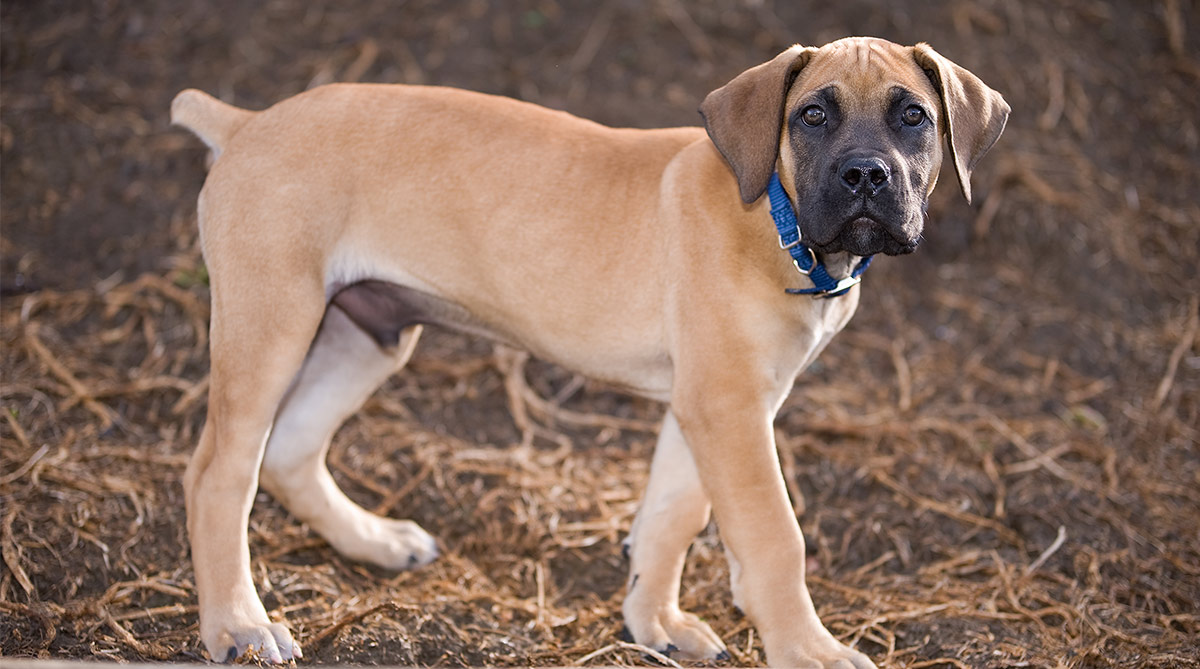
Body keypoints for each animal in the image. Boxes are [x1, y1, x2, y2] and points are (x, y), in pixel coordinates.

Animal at [174, 36, 1008, 669]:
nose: (866, 174)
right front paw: (809, 650)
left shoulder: (709, 405)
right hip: (273, 323)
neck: (776, 216)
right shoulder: (729, 409)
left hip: (369, 331)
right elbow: (774, 537)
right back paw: (238, 623)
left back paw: (373, 541)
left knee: (290, 448)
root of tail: (246, 124)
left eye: (913, 116)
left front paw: (654, 621)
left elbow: (670, 517)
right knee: (220, 470)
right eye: (811, 115)